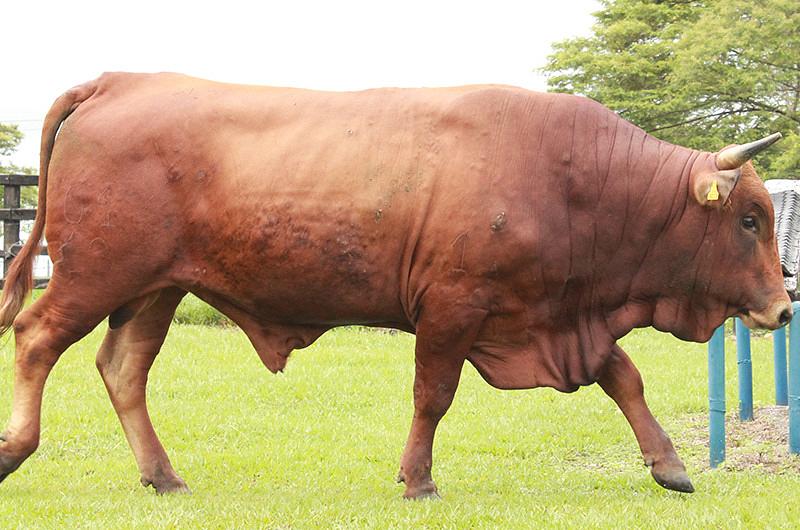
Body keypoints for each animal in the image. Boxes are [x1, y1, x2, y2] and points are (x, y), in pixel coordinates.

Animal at [0, 72, 792, 498]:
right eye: (750, 219)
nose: (784, 308)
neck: (577, 178)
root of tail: (121, 80)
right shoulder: (452, 306)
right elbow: (432, 396)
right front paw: (418, 480)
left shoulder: (552, 317)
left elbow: (624, 376)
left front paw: (670, 464)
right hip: (97, 274)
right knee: (36, 338)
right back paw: (16, 448)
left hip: (154, 290)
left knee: (122, 368)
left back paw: (162, 475)